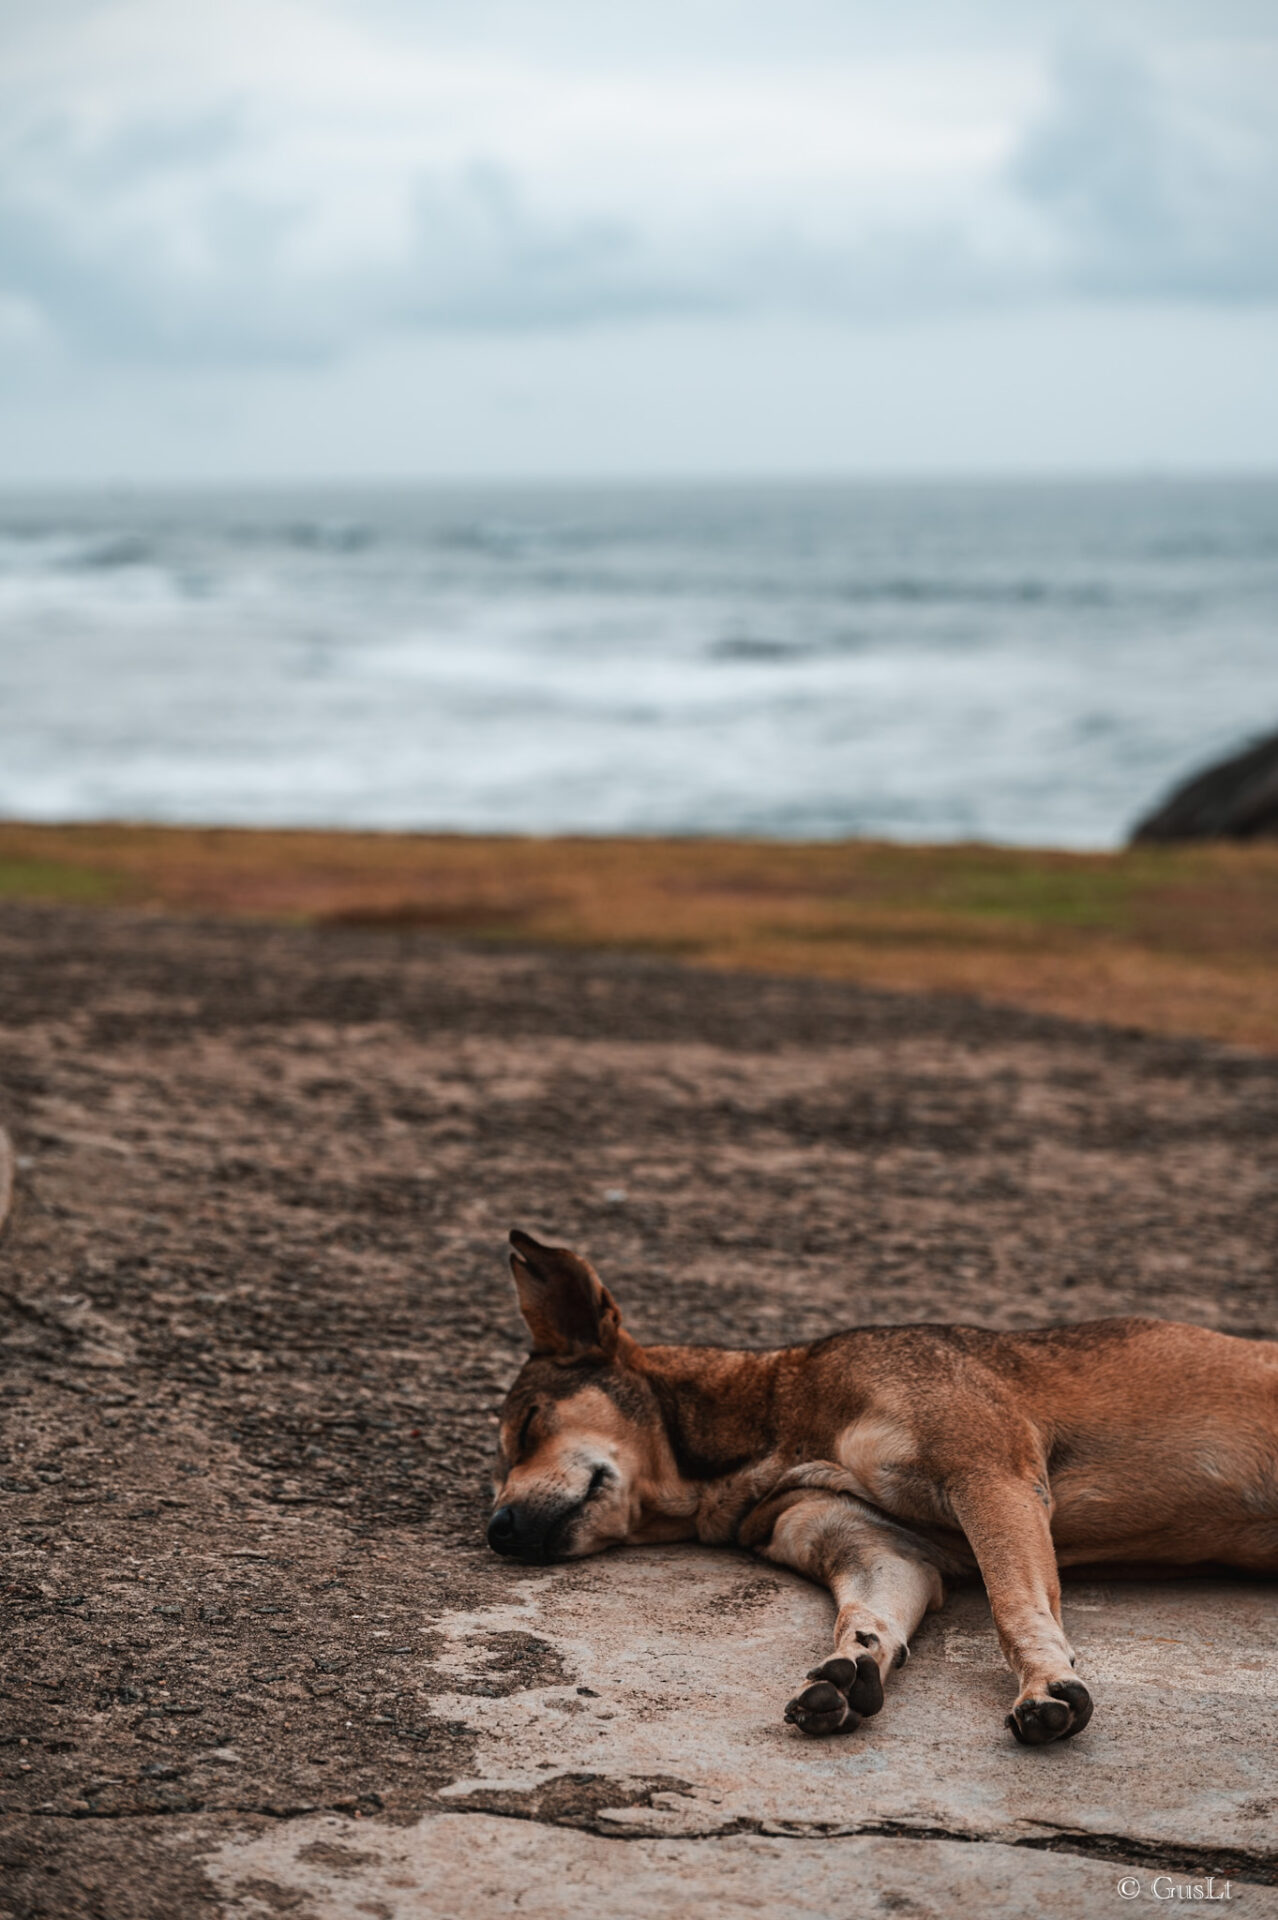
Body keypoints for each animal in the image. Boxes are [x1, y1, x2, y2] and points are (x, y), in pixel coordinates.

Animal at [487, 1236, 1274, 1751]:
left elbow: (1015, 1610)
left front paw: (1046, 1683)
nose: (496, 1529)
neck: (777, 1424)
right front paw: (852, 1670)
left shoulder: (991, 1476)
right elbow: (867, 1614)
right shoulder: (886, 1550)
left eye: (527, 1425)